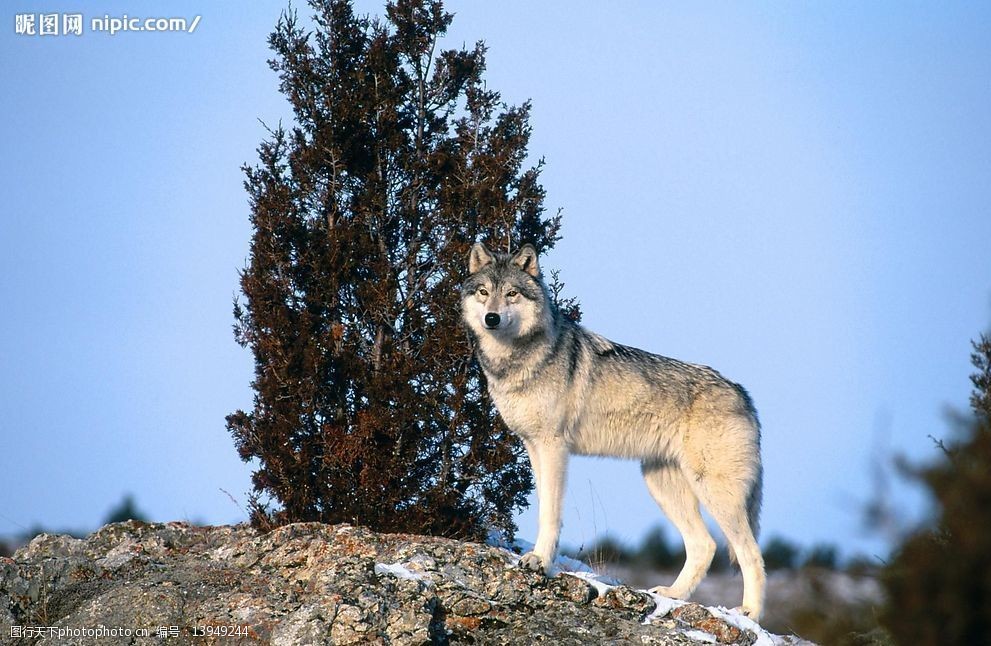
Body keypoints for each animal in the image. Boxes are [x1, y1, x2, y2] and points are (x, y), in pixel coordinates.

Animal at [462, 244, 772, 624]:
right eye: (483, 292)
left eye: (511, 294)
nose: (491, 318)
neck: (517, 360)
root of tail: (743, 394)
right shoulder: (533, 446)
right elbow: (543, 508)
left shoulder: (553, 447)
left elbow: (551, 513)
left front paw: (540, 562)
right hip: (661, 484)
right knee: (705, 545)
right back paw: (672, 595)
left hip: (714, 492)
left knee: (751, 552)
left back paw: (749, 613)